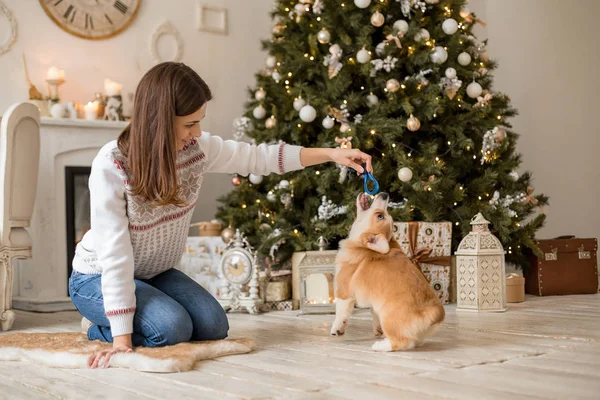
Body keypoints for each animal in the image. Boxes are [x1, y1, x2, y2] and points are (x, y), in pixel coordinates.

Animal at [328, 192, 446, 352]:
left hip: (389, 317)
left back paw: (381, 345)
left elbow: (341, 313)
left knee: (402, 342)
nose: (385, 194)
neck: (361, 247)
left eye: (380, 216)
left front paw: (337, 329)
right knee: (414, 341)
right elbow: (373, 314)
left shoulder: (343, 293)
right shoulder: (373, 300)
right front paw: (377, 329)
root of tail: (434, 314)